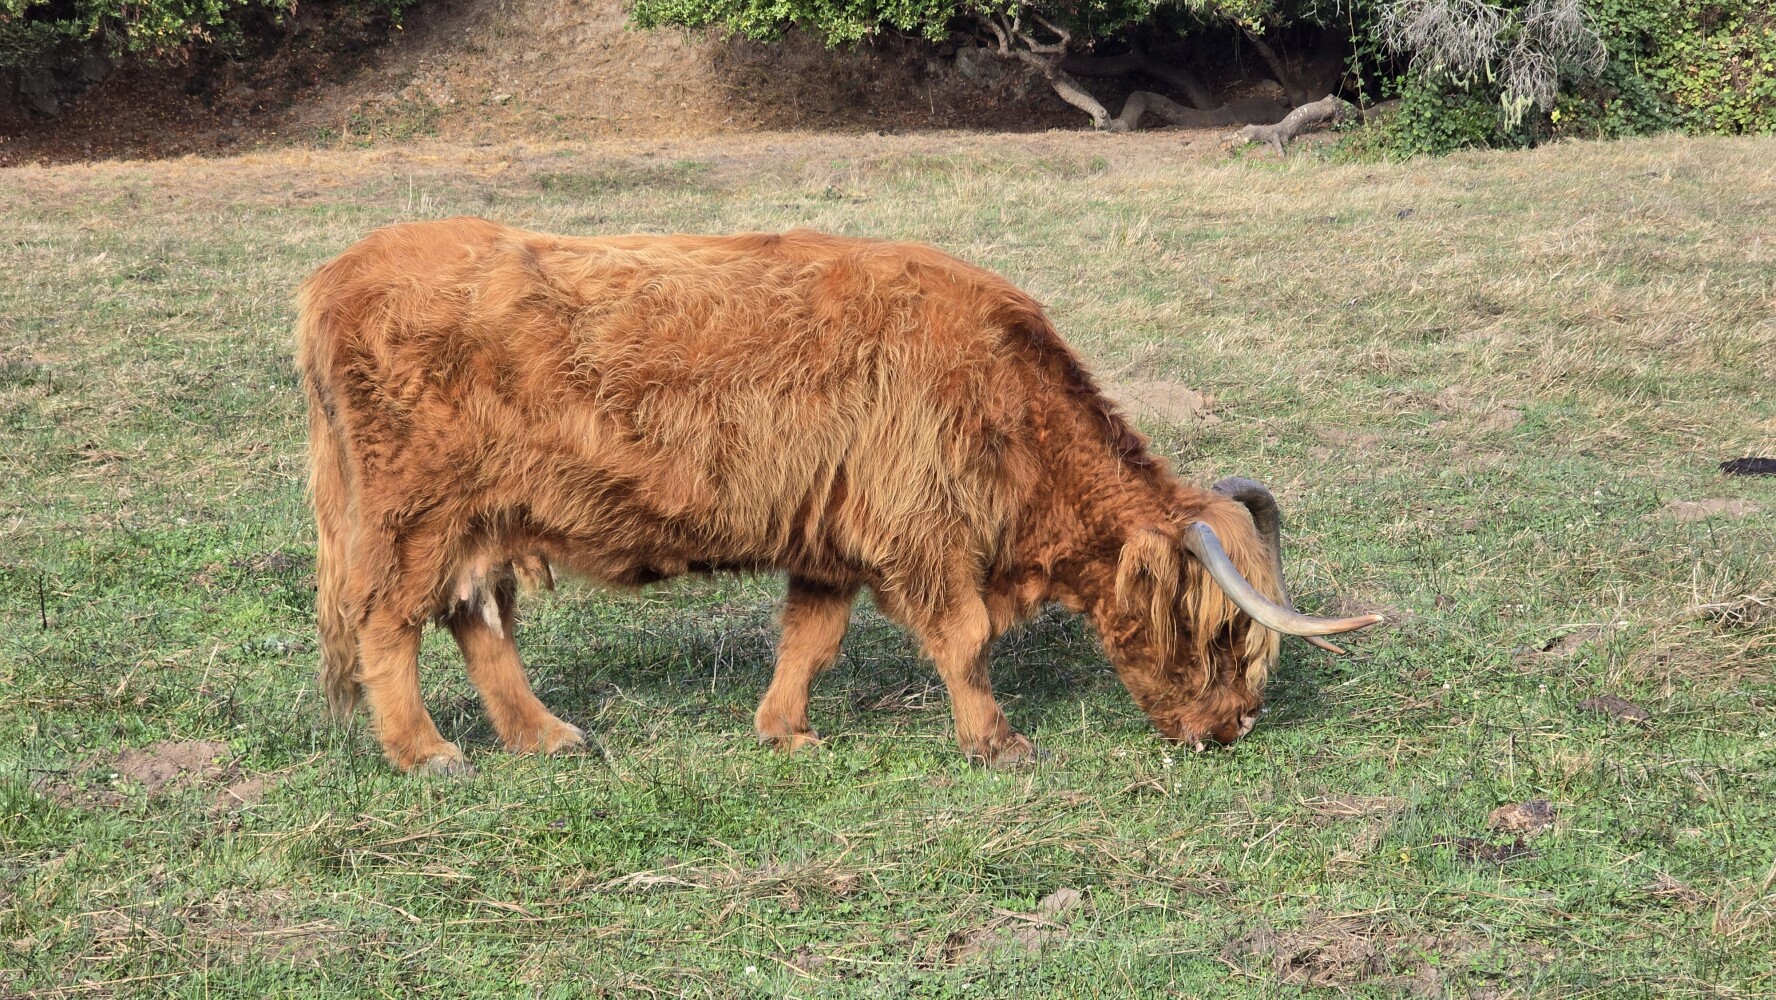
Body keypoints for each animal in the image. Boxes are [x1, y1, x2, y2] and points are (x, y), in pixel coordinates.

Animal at [296, 217, 1380, 775]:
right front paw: (997, 742)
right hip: (413, 513)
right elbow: (963, 641)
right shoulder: (923, 532)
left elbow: (806, 640)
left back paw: (545, 735)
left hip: (480, 519)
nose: (1234, 728)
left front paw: (786, 729)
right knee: (388, 623)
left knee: (477, 619)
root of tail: (338, 270)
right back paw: (428, 752)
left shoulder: (829, 542)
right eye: (1226, 633)